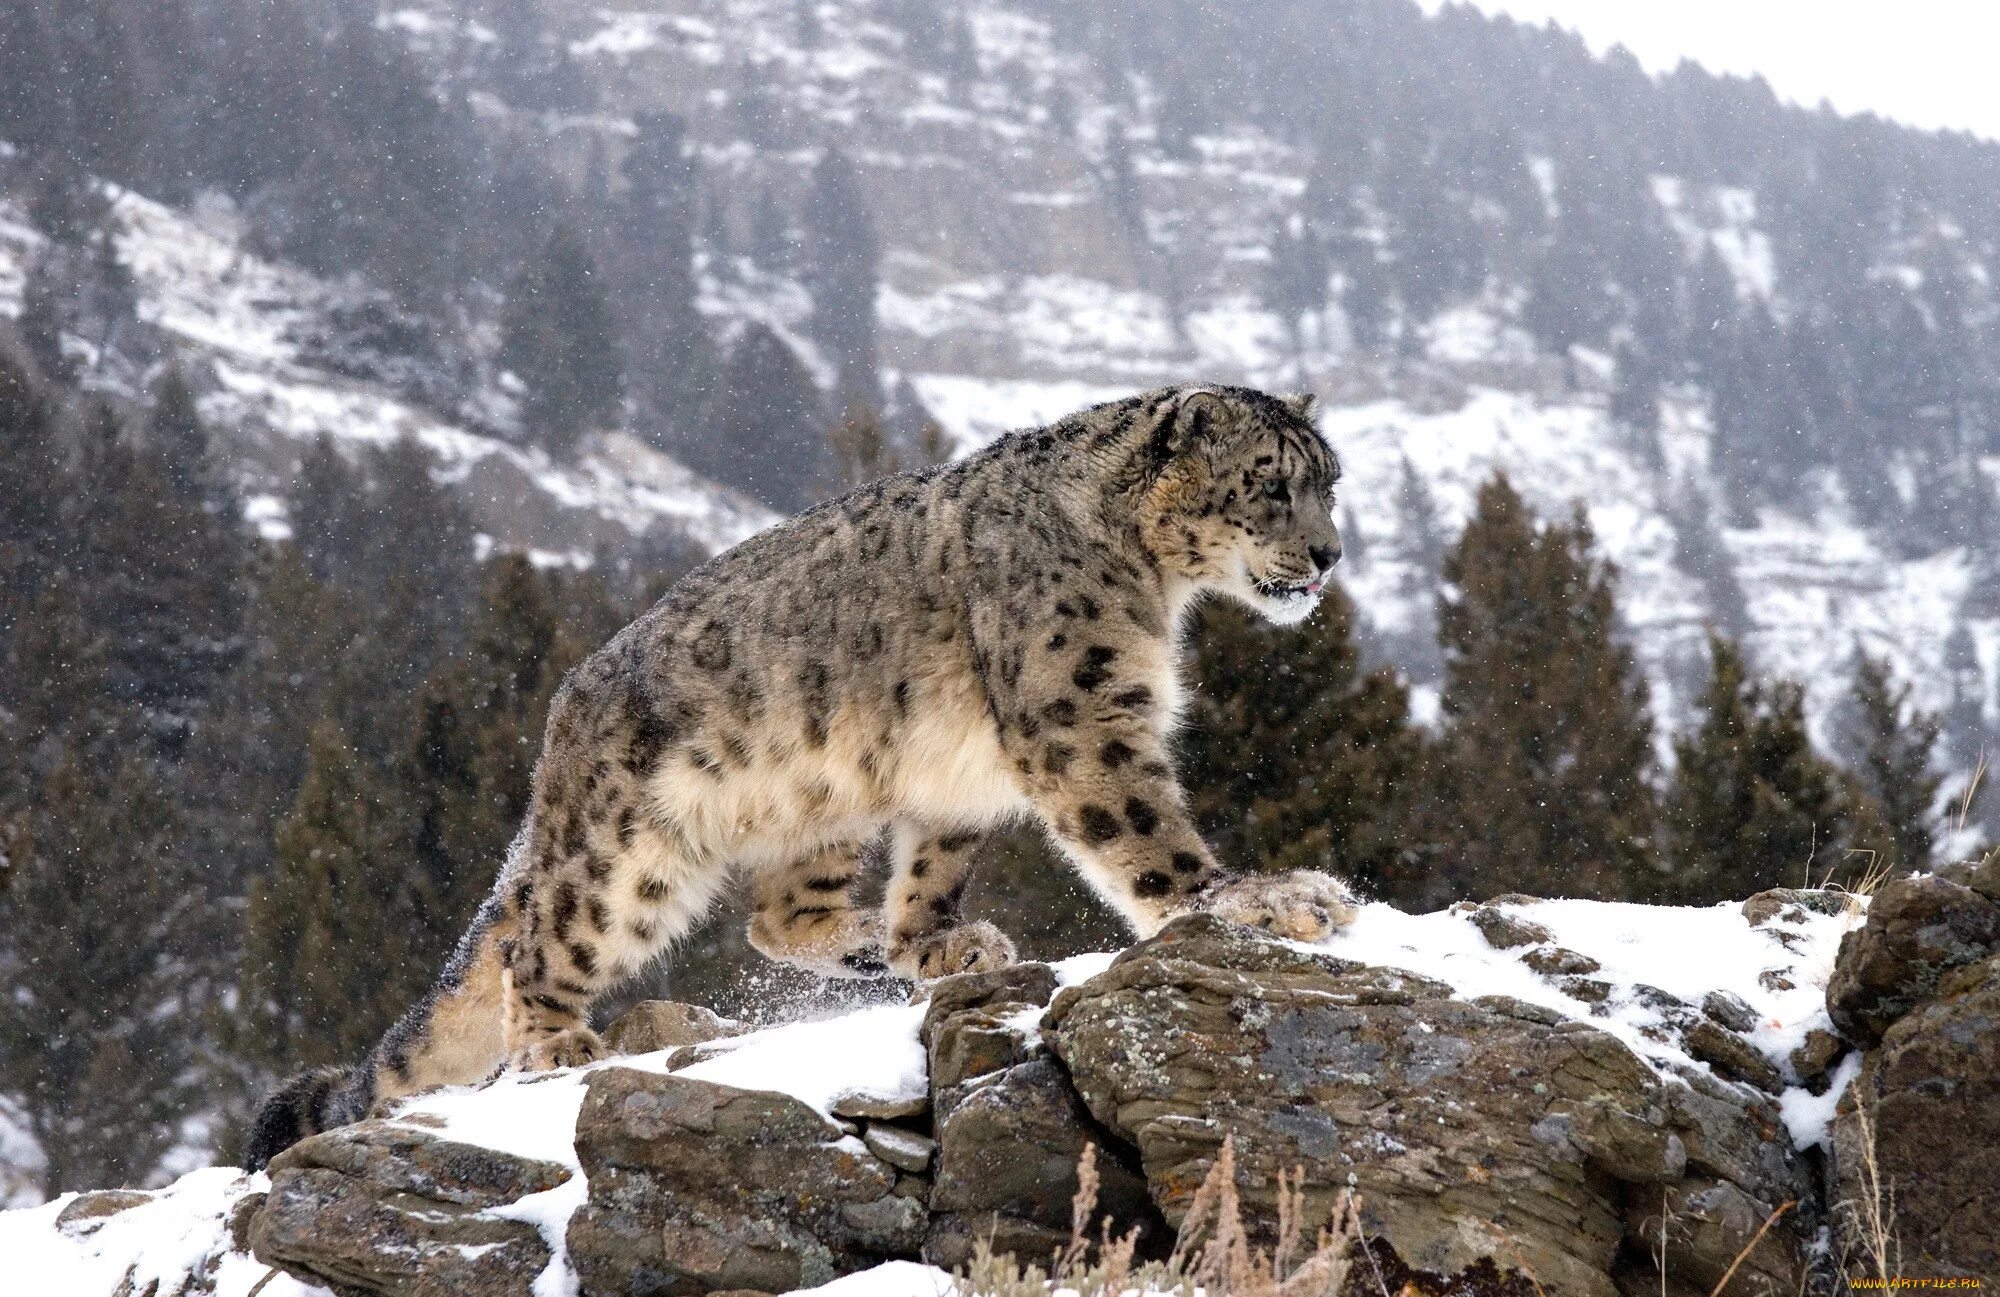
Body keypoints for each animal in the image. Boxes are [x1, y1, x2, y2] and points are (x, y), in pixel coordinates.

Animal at [242, 382, 1352, 1168]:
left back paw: (868, 941)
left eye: (1329, 481)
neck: (1155, 587)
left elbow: (934, 865)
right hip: (623, 855)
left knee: (773, 916)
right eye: (1269, 482)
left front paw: (936, 941)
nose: (1329, 554)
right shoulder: (1078, 714)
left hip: (825, 800)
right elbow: (1147, 835)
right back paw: (557, 1042)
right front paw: (1260, 897)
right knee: (539, 940)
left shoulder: (962, 775)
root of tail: (561, 722)